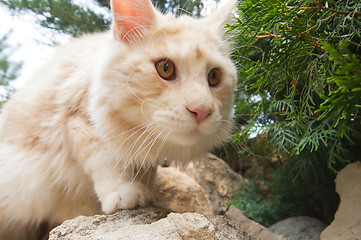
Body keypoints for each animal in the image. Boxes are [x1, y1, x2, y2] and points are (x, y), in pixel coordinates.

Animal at [0, 0, 236, 238]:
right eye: (165, 68)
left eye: (214, 76)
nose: (202, 111)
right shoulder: (76, 120)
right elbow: (103, 159)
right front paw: (125, 193)